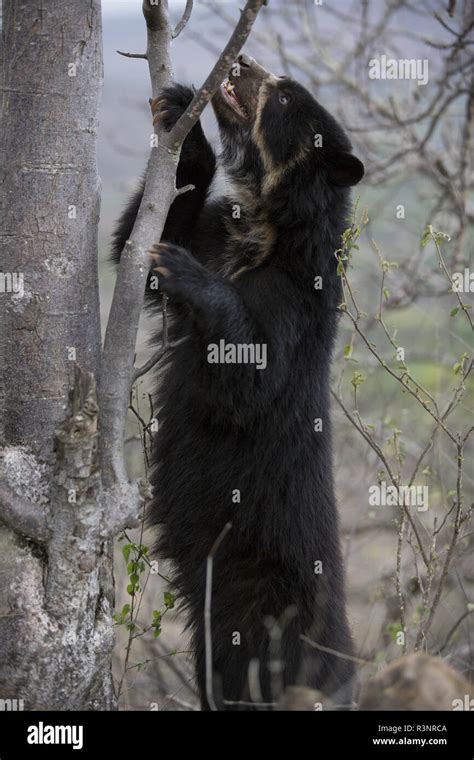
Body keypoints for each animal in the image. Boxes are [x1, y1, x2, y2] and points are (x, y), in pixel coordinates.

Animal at [111, 55, 362, 712]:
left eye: (283, 98)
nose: (244, 61)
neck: (265, 225)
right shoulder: (217, 230)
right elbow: (141, 242)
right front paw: (179, 113)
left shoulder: (295, 307)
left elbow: (250, 370)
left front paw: (185, 273)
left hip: (269, 611)